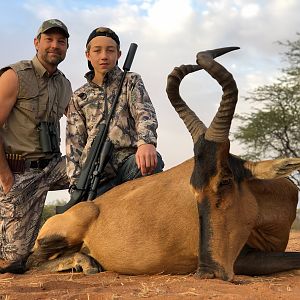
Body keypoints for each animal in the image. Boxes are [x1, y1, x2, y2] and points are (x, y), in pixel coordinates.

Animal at [26, 47, 300, 282]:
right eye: (193, 188)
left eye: (225, 180)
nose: (207, 271)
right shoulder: (242, 259)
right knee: (28, 261)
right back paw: (86, 263)